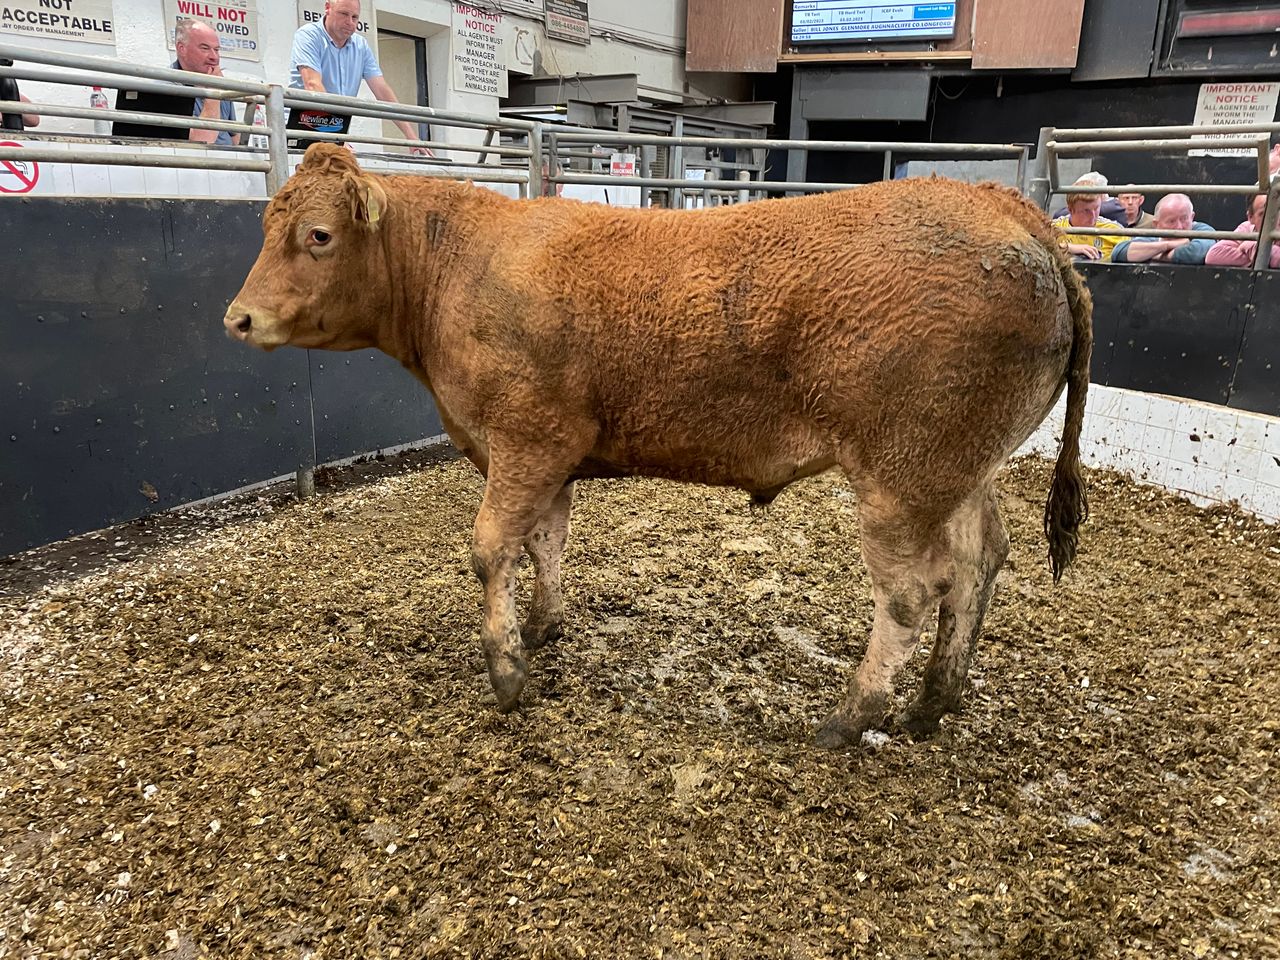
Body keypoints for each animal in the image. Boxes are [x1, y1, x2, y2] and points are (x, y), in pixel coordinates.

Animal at [224, 143, 1091, 748]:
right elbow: (545, 539)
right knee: (981, 560)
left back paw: (852, 716)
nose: (237, 318)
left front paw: (506, 671)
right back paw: (935, 701)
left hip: (901, 479)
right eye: (265, 225)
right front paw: (543, 625)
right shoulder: (550, 454)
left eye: (318, 234)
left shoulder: (526, 437)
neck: (461, 262)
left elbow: (491, 546)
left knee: (913, 591)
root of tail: (1004, 205)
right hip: (963, 469)